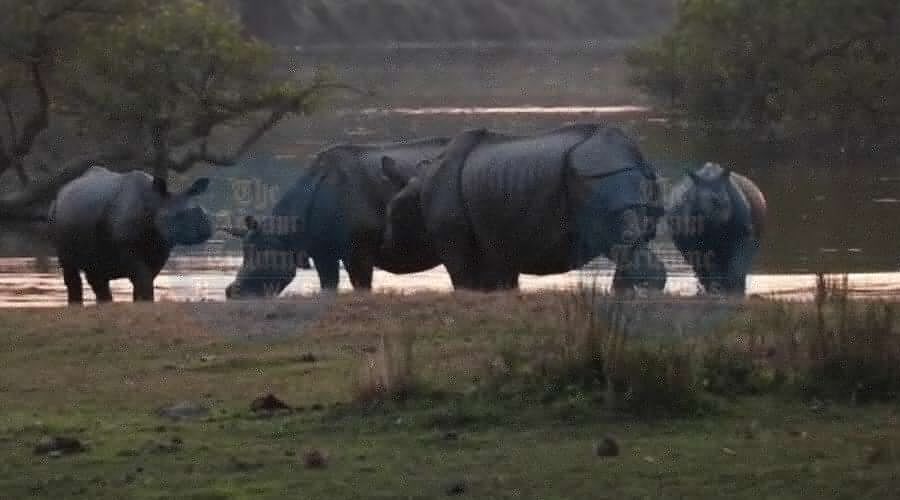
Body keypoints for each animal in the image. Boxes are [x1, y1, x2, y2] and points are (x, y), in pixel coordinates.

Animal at [49, 166, 212, 305]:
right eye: (177, 217)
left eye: (201, 210)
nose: (204, 230)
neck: (155, 202)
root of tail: (61, 191)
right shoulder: (126, 246)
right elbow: (142, 276)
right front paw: (146, 302)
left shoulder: (160, 247)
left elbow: (145, 278)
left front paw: (141, 302)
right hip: (56, 213)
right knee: (71, 268)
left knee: (96, 272)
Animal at [223, 137, 451, 299]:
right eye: (245, 251)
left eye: (260, 252)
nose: (231, 292)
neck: (286, 235)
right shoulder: (323, 253)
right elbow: (328, 285)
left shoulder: (358, 252)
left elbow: (362, 286)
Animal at [379, 124, 668, 292]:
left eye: (394, 212)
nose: (387, 245)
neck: (419, 187)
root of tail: (638, 157)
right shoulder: (499, 238)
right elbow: (502, 280)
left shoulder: (452, 234)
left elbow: (461, 276)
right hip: (610, 169)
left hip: (601, 171)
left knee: (617, 238)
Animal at [664, 162, 767, 295]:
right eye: (698, 203)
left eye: (726, 201)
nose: (724, 220)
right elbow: (706, 263)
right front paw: (717, 287)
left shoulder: (744, 233)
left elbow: (738, 262)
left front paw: (733, 287)